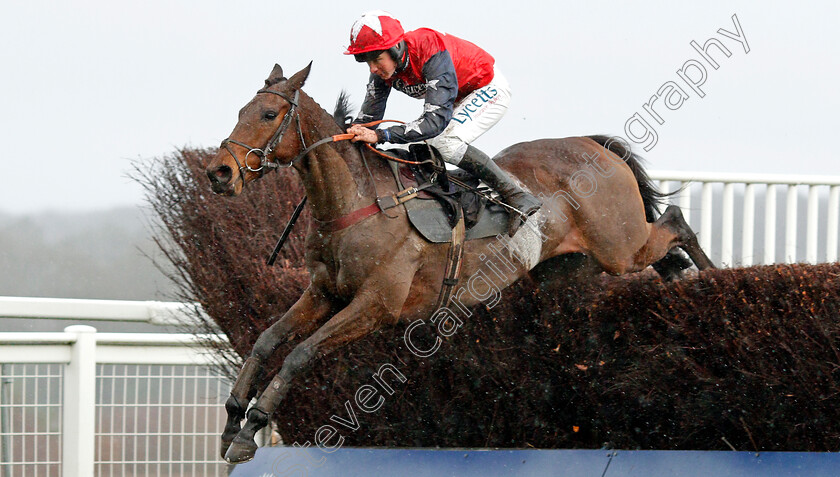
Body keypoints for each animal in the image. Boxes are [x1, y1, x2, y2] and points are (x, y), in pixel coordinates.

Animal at [203, 63, 716, 462]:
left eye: (269, 114)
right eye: (241, 112)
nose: (218, 173)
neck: (358, 201)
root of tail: (593, 145)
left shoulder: (377, 305)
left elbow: (300, 353)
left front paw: (252, 428)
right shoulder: (324, 292)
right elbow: (267, 341)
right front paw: (231, 422)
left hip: (618, 247)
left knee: (674, 221)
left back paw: (709, 277)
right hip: (571, 267)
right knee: (663, 246)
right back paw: (678, 273)